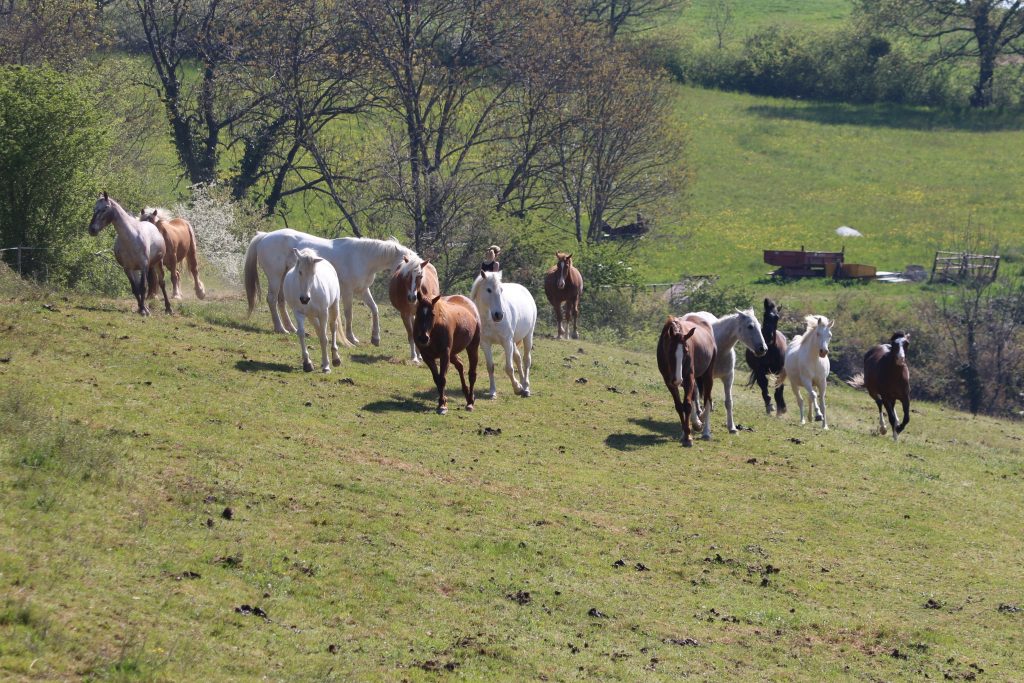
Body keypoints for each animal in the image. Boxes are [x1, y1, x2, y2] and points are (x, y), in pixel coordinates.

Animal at [241, 229, 413, 344]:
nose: (410, 294)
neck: (362, 257)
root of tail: (265, 235)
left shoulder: (363, 290)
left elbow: (374, 309)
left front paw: (375, 338)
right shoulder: (348, 291)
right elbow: (349, 314)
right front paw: (352, 338)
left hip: (284, 278)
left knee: (281, 301)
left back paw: (291, 328)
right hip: (275, 277)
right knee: (271, 299)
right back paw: (280, 328)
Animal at [468, 270, 540, 401]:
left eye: (501, 290)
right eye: (489, 290)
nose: (499, 315)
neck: (490, 320)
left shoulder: (507, 342)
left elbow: (509, 368)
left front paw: (517, 388)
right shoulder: (485, 344)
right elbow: (490, 367)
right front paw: (492, 392)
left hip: (528, 336)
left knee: (526, 360)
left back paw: (526, 388)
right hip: (513, 341)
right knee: (518, 358)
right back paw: (523, 383)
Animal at [659, 317, 716, 448]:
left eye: (686, 351)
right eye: (669, 351)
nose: (678, 379)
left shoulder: (689, 378)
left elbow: (688, 405)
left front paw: (688, 437)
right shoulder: (669, 382)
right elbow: (679, 406)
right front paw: (685, 433)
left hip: (707, 376)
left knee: (707, 399)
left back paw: (706, 432)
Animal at [679, 307, 770, 436]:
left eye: (759, 325)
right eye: (750, 326)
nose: (763, 349)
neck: (719, 347)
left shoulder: (728, 377)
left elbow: (728, 402)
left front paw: (732, 427)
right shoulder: (707, 378)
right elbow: (706, 401)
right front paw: (705, 431)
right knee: (693, 394)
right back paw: (696, 421)